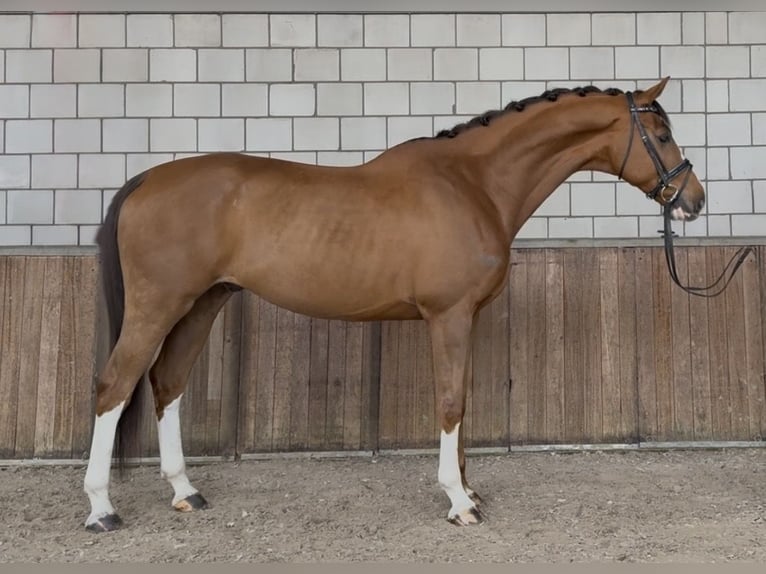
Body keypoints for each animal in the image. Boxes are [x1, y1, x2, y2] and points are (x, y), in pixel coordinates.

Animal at [83, 77, 705, 532]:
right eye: (662, 134)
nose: (694, 200)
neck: (473, 183)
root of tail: (146, 179)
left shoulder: (465, 320)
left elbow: (464, 399)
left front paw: (469, 488)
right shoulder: (448, 316)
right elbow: (450, 402)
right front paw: (459, 502)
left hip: (202, 303)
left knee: (167, 384)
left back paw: (185, 491)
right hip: (158, 306)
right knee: (115, 386)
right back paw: (102, 508)